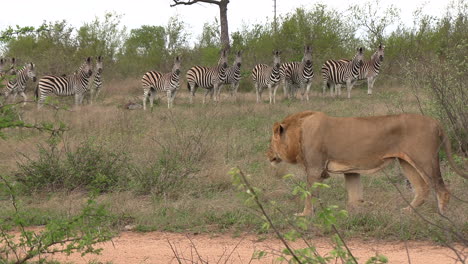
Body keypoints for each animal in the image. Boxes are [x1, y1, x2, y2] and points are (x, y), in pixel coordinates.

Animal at [268, 110, 466, 216]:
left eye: (271, 141)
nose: (267, 154)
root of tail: (435, 121)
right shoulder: (351, 170)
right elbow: (354, 196)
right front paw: (359, 211)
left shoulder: (315, 169)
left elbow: (309, 195)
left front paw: (304, 215)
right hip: (406, 162)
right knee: (422, 189)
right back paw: (407, 211)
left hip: (425, 160)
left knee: (441, 188)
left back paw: (442, 216)